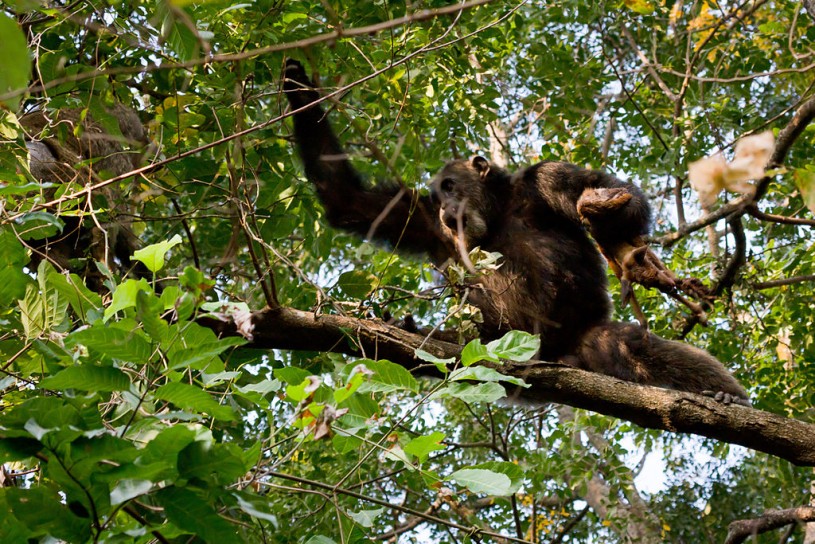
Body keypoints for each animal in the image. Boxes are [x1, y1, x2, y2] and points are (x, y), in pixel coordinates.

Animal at [284, 61, 748, 406]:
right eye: (435, 196)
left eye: (449, 185)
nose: (446, 208)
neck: (498, 208)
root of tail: (557, 355)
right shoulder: (423, 223)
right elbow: (348, 199)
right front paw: (295, 83)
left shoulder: (548, 177)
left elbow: (605, 193)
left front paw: (605, 213)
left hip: (585, 342)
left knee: (634, 347)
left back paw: (724, 396)